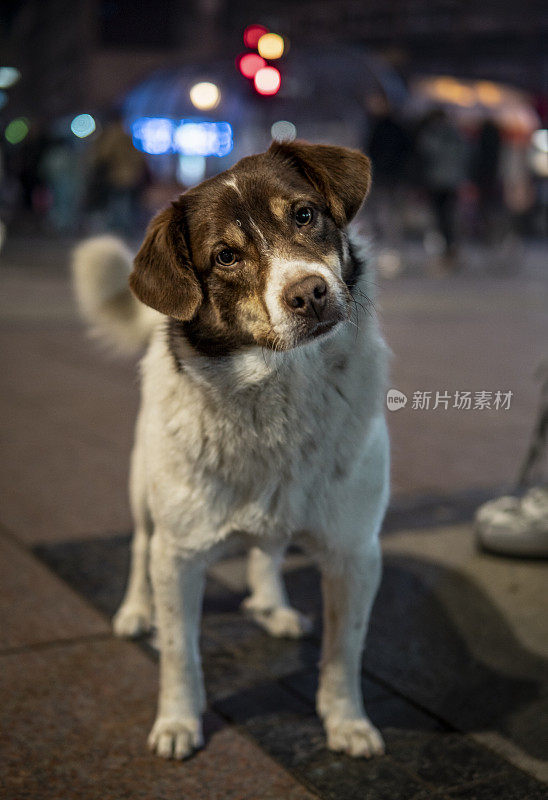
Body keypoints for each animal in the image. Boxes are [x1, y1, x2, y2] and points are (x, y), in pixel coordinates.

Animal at [73, 142, 390, 764]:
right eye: (224, 256)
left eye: (305, 215)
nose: (309, 293)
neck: (279, 391)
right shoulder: (178, 557)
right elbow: (180, 652)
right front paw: (178, 721)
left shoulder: (355, 552)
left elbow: (345, 652)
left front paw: (346, 722)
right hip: (143, 487)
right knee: (139, 545)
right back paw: (135, 611)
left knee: (268, 550)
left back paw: (272, 606)